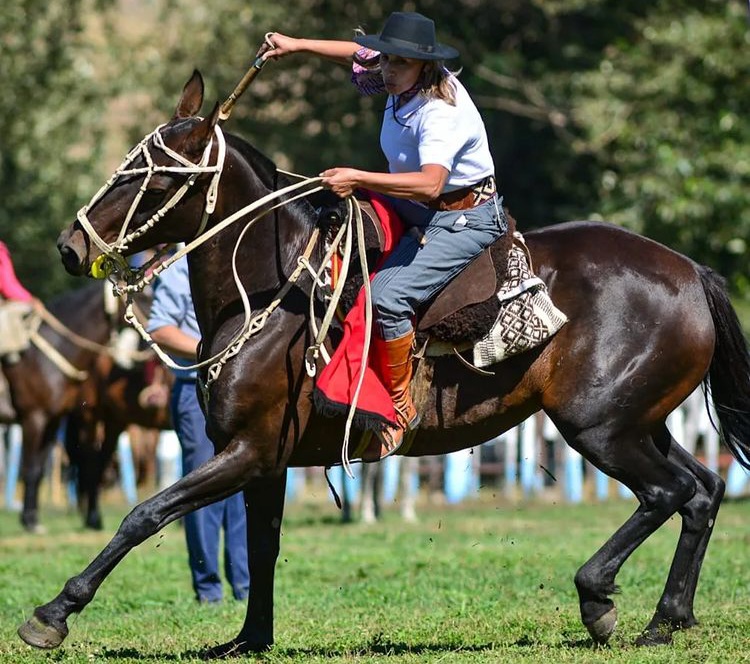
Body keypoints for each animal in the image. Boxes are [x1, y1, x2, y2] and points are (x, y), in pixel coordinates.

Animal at [19, 70, 750, 656]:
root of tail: (691, 272)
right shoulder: (265, 463)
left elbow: (145, 514)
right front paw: (249, 639)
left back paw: (599, 597)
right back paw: (668, 618)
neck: (276, 291)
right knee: (704, 492)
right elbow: (261, 547)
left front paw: (53, 613)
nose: (70, 243)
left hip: (598, 426)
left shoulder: (246, 452)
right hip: (637, 420)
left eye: (157, 173)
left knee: (668, 494)